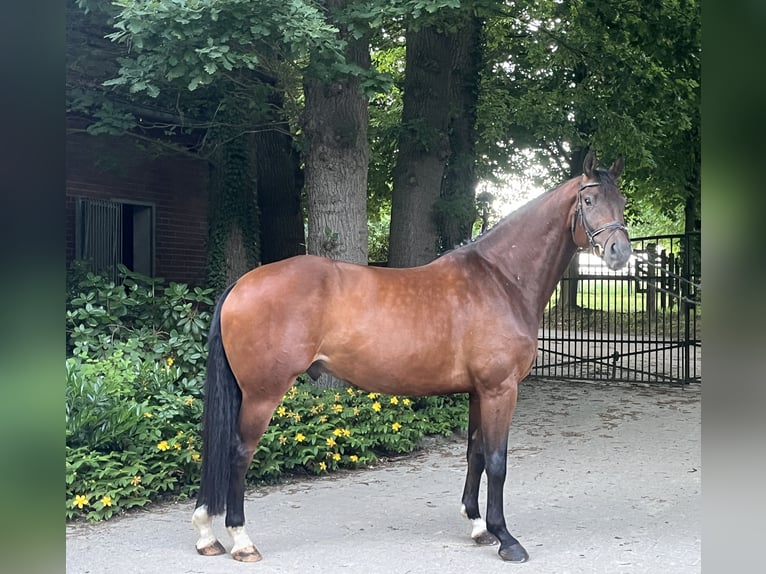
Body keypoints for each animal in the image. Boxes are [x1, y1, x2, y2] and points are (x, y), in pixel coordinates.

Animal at [190, 151, 632, 564]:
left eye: (623, 200)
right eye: (589, 199)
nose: (620, 253)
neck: (500, 279)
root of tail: (242, 283)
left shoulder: (478, 392)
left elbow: (474, 453)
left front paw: (477, 527)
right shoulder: (500, 390)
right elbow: (497, 460)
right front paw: (506, 538)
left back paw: (207, 534)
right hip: (262, 394)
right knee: (238, 453)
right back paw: (241, 541)